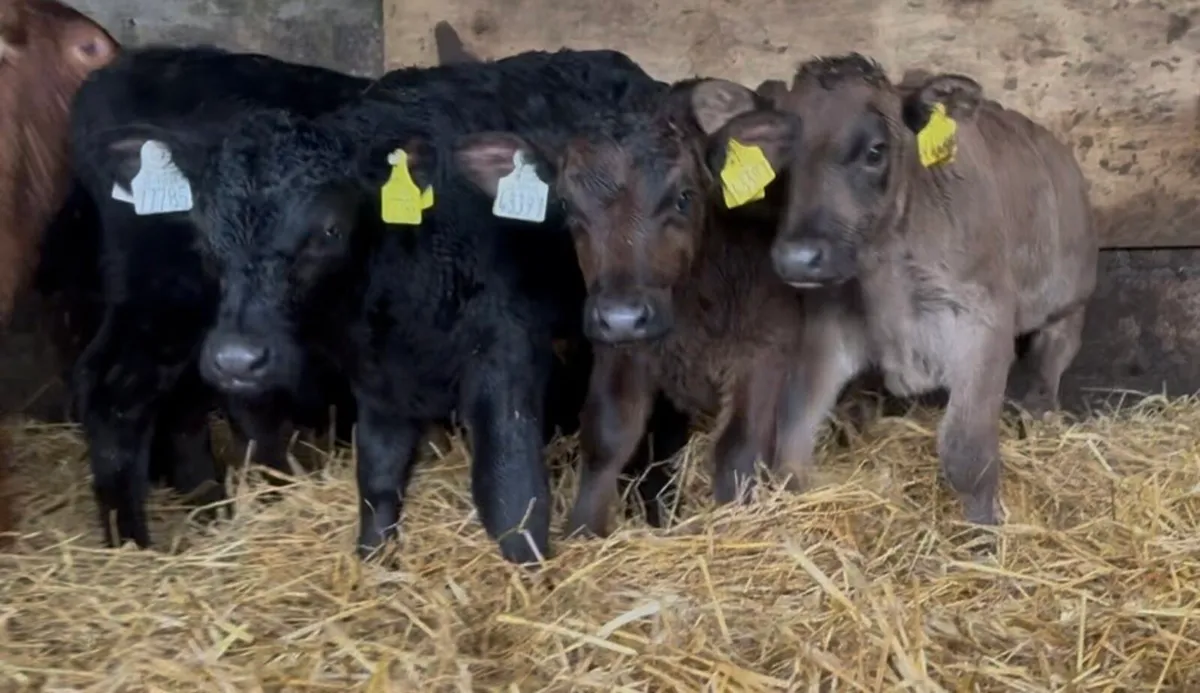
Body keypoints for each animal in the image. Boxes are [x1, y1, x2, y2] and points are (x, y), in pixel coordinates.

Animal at [688, 54, 1099, 526]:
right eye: (781, 155)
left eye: (874, 151)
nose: (798, 257)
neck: (889, 279)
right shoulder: (828, 330)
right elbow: (793, 436)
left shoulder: (983, 327)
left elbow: (967, 454)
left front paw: (984, 530)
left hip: (1068, 305)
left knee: (1048, 374)